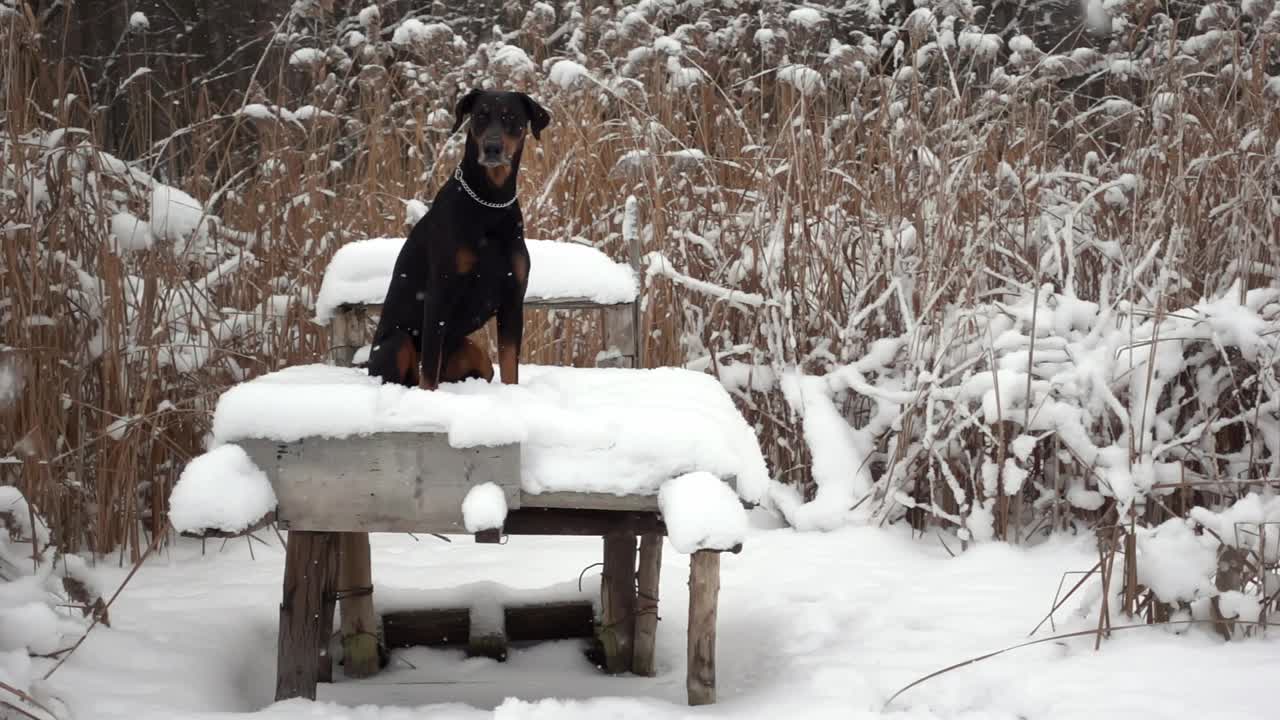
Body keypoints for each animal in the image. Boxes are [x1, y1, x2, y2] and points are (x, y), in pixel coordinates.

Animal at [368, 90, 552, 392]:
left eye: (511, 117)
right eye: (480, 116)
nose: (492, 148)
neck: (490, 203)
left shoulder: (513, 298)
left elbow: (510, 366)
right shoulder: (439, 292)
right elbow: (430, 368)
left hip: (476, 354)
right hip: (397, 343)